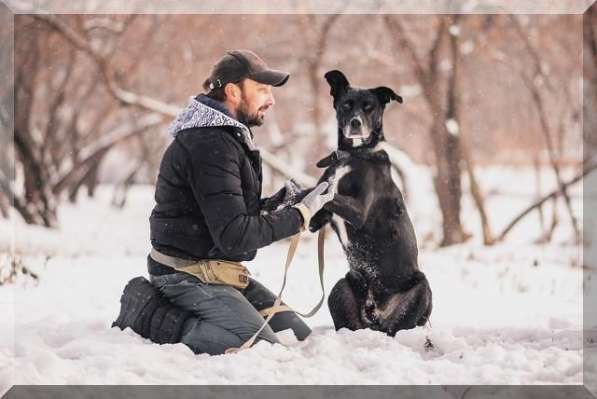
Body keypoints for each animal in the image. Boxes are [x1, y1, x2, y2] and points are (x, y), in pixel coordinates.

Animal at [308, 69, 434, 338]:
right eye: (346, 105)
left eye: (370, 107)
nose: (356, 123)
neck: (353, 155)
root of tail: (375, 314)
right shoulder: (315, 221)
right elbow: (318, 201)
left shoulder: (359, 211)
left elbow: (328, 194)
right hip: (341, 287)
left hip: (421, 289)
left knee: (395, 328)